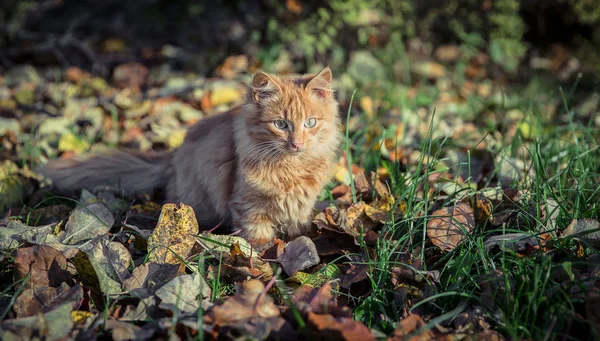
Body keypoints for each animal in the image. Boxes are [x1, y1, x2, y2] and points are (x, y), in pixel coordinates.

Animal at [41, 68, 342, 244]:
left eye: (310, 123)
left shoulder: (300, 208)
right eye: (281, 124)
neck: (291, 167)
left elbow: (298, 231)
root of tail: (173, 157)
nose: (297, 143)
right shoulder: (248, 208)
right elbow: (258, 242)